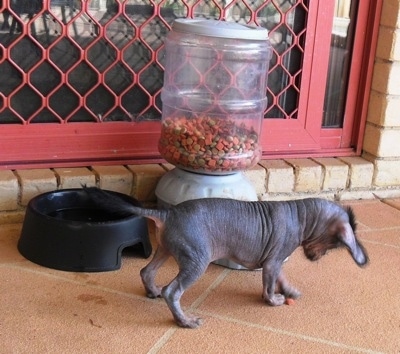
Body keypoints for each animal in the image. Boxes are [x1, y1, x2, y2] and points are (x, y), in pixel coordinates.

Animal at [84, 188, 368, 330]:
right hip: (197, 259)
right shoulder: (273, 261)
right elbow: (269, 286)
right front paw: (274, 300)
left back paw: (152, 290)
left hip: (166, 249)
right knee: (172, 291)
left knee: (146, 271)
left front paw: (288, 291)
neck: (301, 213)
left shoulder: (275, 260)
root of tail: (169, 213)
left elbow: (280, 277)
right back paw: (184, 321)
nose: (314, 257)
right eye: (335, 244)